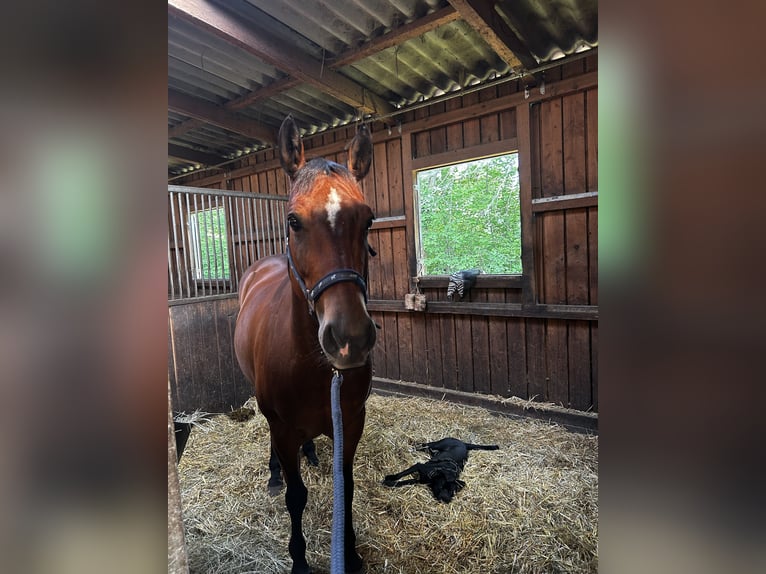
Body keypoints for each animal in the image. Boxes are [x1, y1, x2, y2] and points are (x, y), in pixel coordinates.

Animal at [234, 115, 377, 574]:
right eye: (294, 221)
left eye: (367, 220)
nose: (349, 339)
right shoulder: (280, 425)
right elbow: (297, 497)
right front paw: (299, 560)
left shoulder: (350, 421)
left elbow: (346, 489)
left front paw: (350, 553)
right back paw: (274, 472)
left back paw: (311, 452)